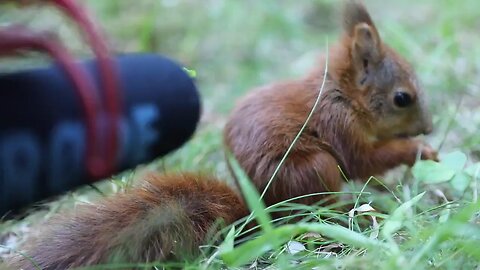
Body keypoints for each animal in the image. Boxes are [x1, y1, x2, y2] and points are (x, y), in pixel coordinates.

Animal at [223, 0, 436, 211]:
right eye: (402, 99)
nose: (428, 128)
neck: (346, 98)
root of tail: (257, 208)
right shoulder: (340, 124)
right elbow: (362, 161)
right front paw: (419, 149)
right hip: (314, 169)